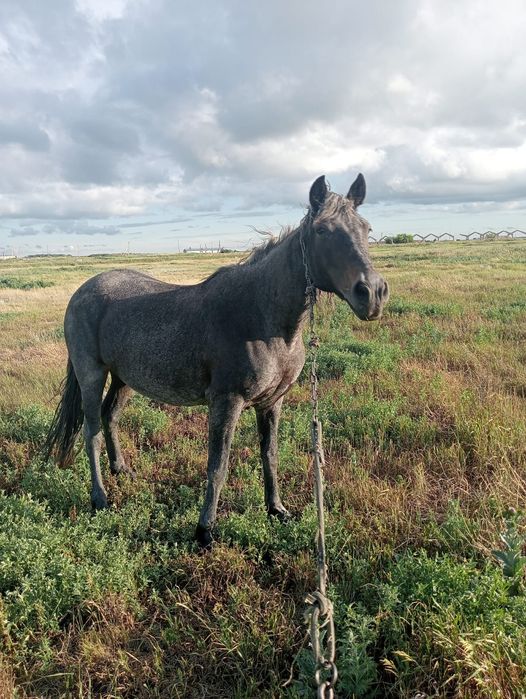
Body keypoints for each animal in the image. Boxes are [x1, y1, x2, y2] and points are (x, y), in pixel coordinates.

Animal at [44, 174, 389, 547]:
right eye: (323, 230)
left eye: (366, 228)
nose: (372, 293)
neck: (263, 319)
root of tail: (82, 291)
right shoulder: (227, 401)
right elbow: (218, 465)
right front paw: (204, 530)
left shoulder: (272, 402)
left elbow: (270, 455)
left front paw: (276, 510)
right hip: (91, 374)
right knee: (91, 430)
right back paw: (100, 499)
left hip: (124, 378)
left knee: (111, 417)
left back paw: (121, 470)